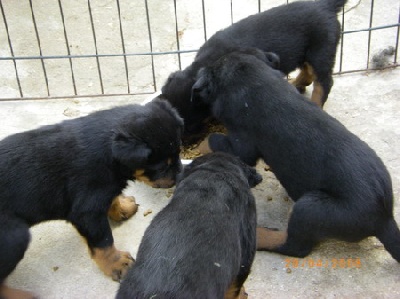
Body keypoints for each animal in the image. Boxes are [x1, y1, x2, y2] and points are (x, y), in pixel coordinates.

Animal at [0, 99, 184, 298]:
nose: (180, 174)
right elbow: (104, 241)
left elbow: (112, 199)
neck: (110, 155)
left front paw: (122, 208)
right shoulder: (87, 212)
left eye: (179, 152)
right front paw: (117, 264)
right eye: (162, 167)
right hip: (14, 236)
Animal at [190, 51, 400, 262]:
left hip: (311, 208)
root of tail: (384, 219)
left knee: (295, 247)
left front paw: (201, 145)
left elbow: (217, 141)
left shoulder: (242, 140)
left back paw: (259, 235)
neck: (252, 79)